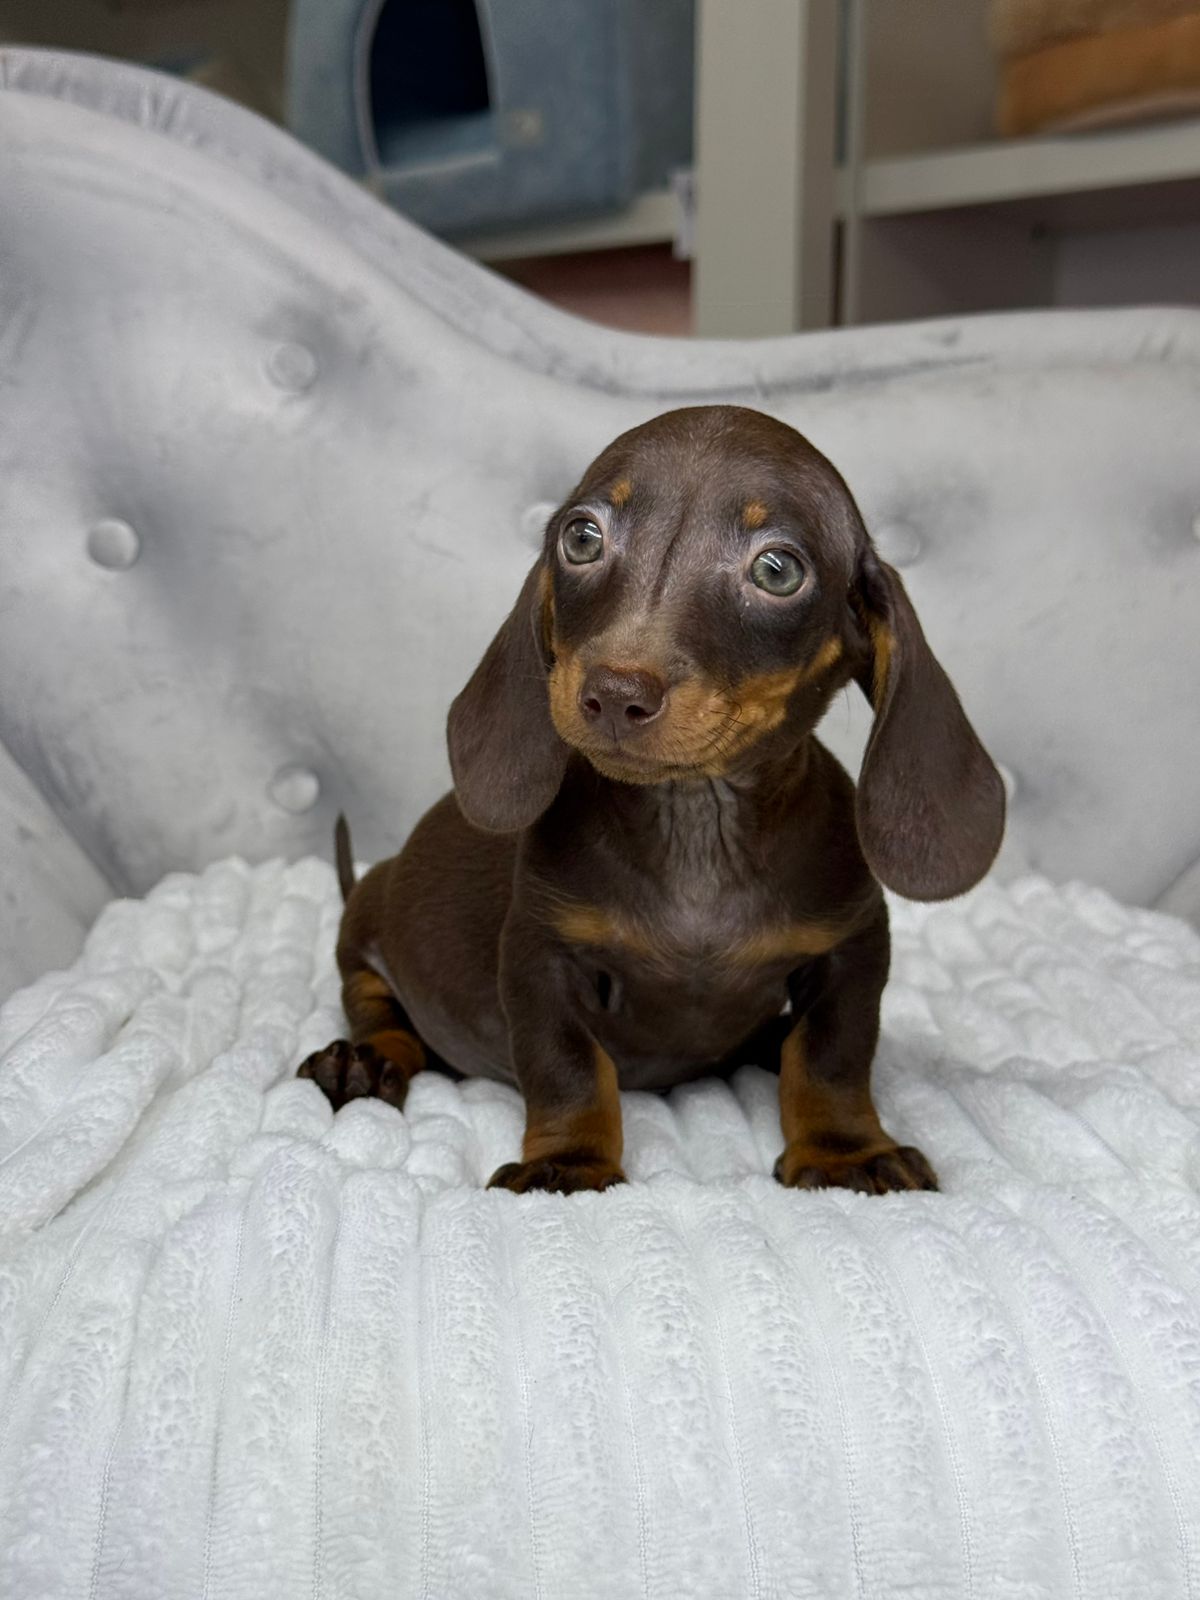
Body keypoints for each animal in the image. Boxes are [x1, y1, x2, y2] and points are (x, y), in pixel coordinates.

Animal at [298, 405, 1005, 1195]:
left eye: (778, 569)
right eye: (581, 536)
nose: (614, 693)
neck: (693, 818)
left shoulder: (853, 945)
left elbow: (832, 1054)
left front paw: (843, 1151)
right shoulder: (539, 951)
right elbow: (567, 1064)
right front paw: (569, 1161)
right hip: (363, 930)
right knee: (378, 1009)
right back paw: (363, 1061)